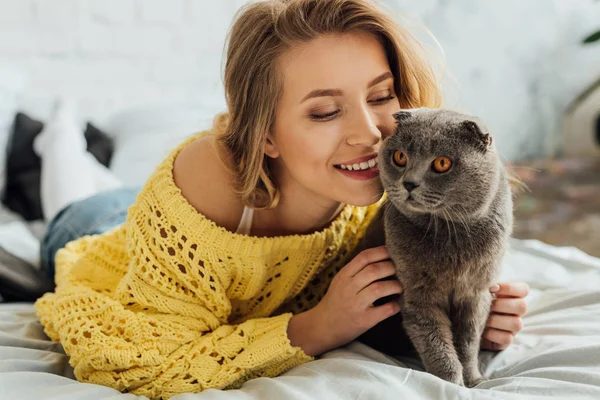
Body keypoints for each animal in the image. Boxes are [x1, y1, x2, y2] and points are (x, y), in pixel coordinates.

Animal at [354, 108, 512, 388]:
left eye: (442, 163)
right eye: (400, 157)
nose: (409, 183)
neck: (449, 233)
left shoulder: (476, 293)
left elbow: (468, 342)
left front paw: (474, 380)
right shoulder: (418, 296)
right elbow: (436, 345)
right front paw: (452, 385)